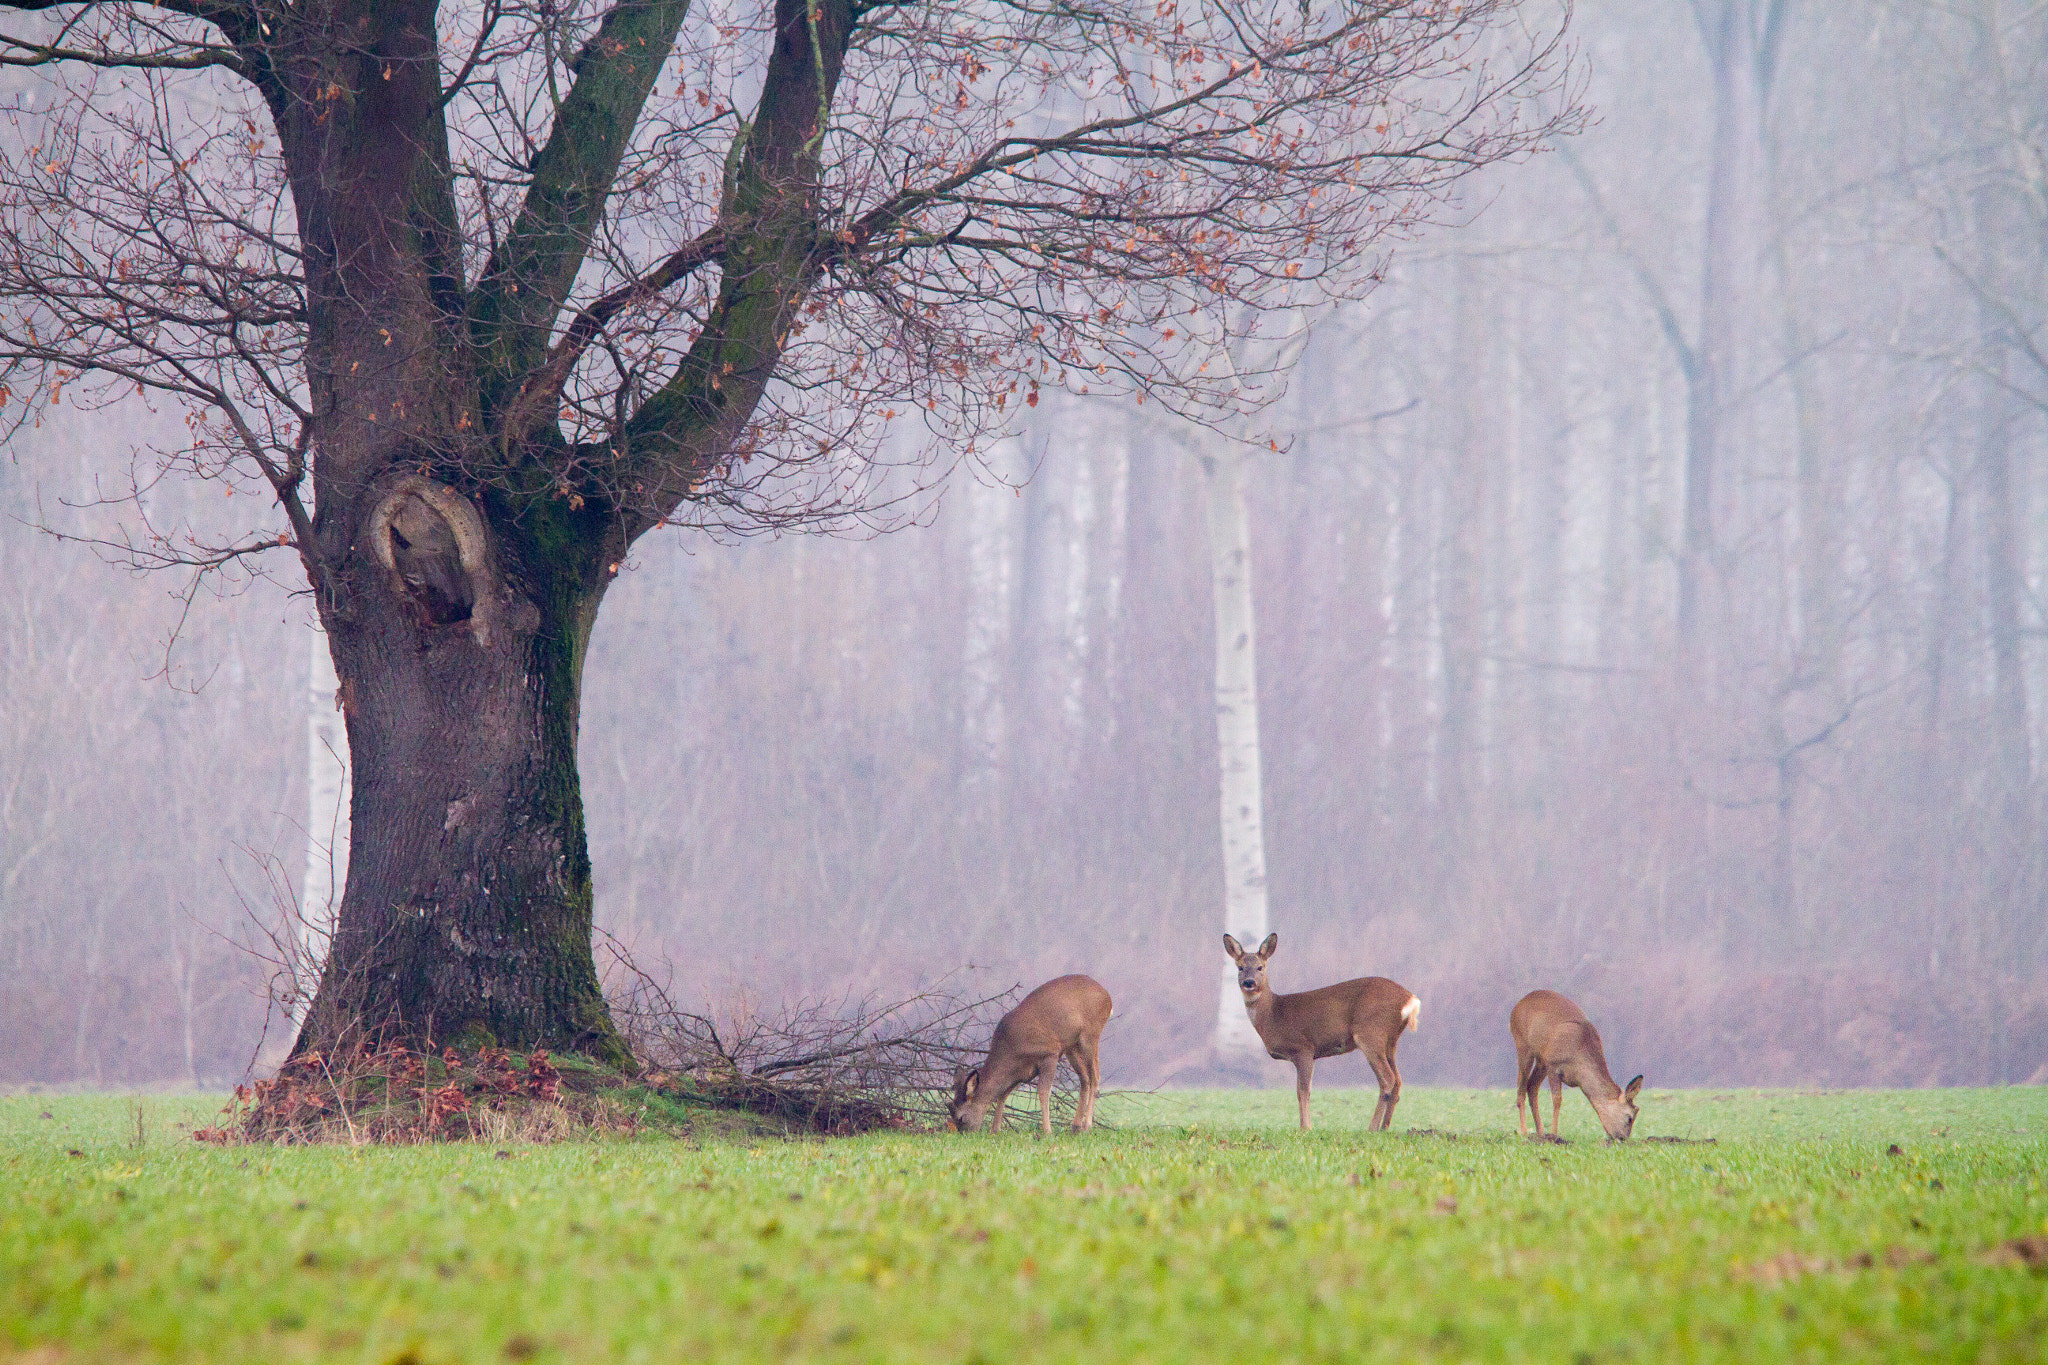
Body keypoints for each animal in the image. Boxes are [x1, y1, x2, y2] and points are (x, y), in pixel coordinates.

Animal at [950, 978, 1114, 1137]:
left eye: (961, 1118)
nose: (965, 1135)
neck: (1011, 1051)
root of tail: (1107, 996)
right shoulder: (1022, 1072)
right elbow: (1003, 1094)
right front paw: (994, 1130)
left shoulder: (1049, 1053)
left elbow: (1043, 1092)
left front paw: (1047, 1131)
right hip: (1071, 1046)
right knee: (1085, 1079)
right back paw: (1075, 1127)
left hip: (1090, 1035)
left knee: (1095, 1077)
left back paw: (1087, 1127)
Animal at [1220, 933, 1417, 1137]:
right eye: (1240, 967)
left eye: (1260, 967)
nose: (1249, 982)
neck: (1274, 1015)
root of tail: (1410, 999)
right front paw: (1305, 1126)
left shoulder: (1303, 1048)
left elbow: (1303, 1091)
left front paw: (1305, 1127)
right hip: (1390, 1040)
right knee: (1398, 1080)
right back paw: (1385, 1127)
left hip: (1370, 1032)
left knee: (1388, 1079)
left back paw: (1372, 1128)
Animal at [1507, 994, 1646, 1146]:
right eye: (1629, 1117)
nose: (1622, 1139)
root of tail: (1519, 1004)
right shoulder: (1554, 1065)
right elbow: (1557, 1099)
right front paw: (1554, 1136)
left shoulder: (1549, 1064)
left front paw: (1549, 1135)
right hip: (1523, 1045)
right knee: (1521, 1089)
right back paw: (1525, 1132)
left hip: (1542, 1061)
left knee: (1531, 1086)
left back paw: (1540, 1133)